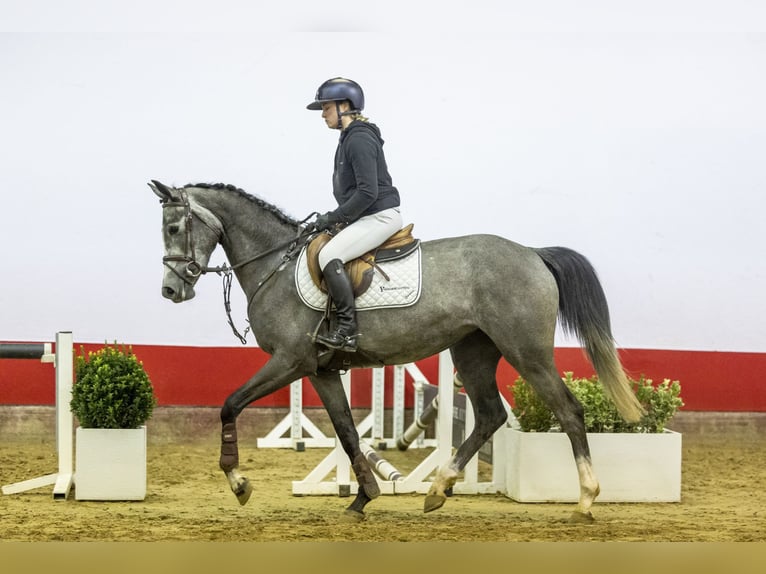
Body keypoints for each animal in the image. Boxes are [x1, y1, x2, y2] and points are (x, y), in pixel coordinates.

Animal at [152, 182, 648, 524]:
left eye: (175, 228)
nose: (171, 290)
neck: (275, 262)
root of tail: (532, 253)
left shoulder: (290, 362)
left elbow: (230, 404)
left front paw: (238, 483)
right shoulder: (320, 371)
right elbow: (347, 432)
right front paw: (362, 497)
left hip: (527, 352)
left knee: (568, 411)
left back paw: (584, 500)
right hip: (473, 352)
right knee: (490, 415)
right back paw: (438, 489)